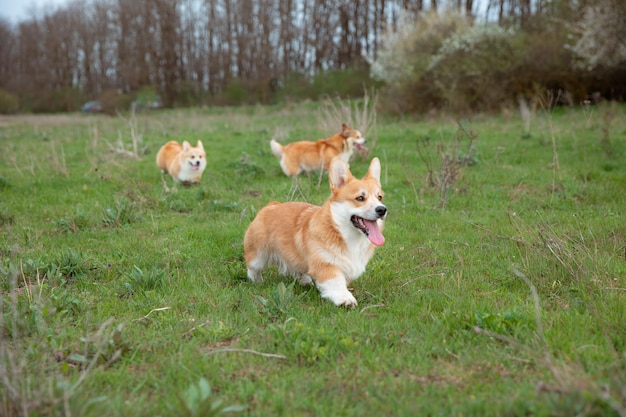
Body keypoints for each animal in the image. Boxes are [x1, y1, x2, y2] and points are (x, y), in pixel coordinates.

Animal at [243, 156, 386, 306]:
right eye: (360, 198)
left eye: (379, 197)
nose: (382, 209)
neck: (345, 234)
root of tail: (271, 205)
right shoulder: (326, 265)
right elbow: (336, 283)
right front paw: (345, 298)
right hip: (258, 255)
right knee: (252, 268)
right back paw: (257, 281)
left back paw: (305, 281)